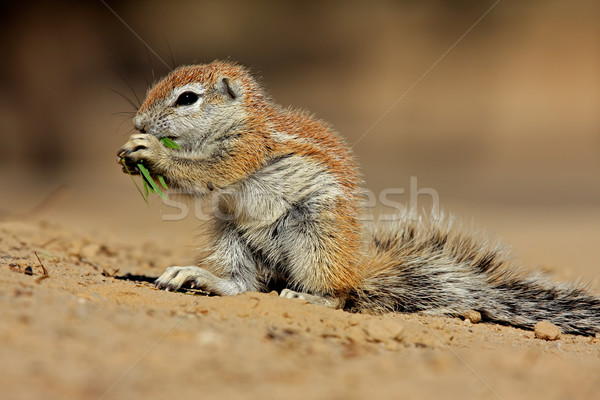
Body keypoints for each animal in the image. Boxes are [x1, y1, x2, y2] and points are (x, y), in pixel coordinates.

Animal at [117, 61, 600, 336]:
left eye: (187, 98)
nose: (139, 121)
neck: (242, 119)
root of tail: (356, 268)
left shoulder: (245, 147)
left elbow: (206, 171)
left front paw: (149, 152)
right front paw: (129, 154)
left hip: (315, 238)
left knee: (340, 296)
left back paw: (309, 298)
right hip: (230, 235)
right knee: (241, 285)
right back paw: (196, 276)